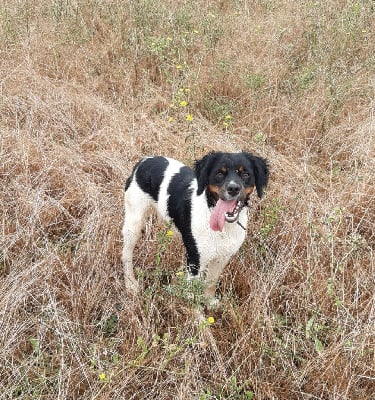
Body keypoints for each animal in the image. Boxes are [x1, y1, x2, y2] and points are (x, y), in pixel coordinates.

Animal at [122, 152, 268, 304]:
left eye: (245, 174)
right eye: (219, 173)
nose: (233, 189)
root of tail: (143, 161)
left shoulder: (222, 258)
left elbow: (211, 283)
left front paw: (209, 302)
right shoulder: (195, 261)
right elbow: (192, 294)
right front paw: (194, 310)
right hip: (133, 223)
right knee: (126, 254)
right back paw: (131, 285)